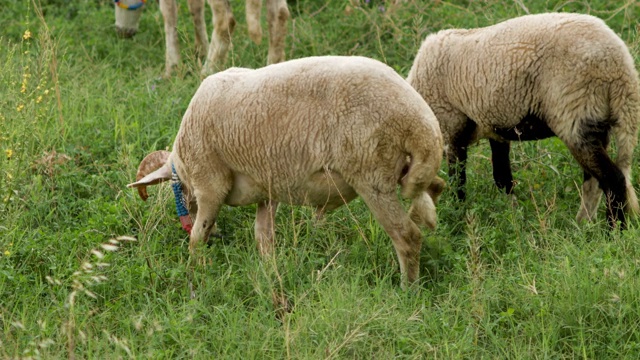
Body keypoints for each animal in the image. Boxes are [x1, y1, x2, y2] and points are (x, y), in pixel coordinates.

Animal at [114, 0, 288, 76]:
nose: (122, 32)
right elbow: (195, 7)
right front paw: (201, 49)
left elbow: (168, 12)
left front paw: (172, 66)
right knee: (279, 13)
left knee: (225, 21)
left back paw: (207, 71)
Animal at [125, 56, 444, 286]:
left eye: (177, 190)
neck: (183, 165)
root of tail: (418, 119)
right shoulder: (267, 189)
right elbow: (263, 237)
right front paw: (270, 272)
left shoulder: (210, 184)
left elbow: (196, 238)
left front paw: (197, 273)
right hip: (402, 167)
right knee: (435, 187)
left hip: (372, 174)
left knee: (407, 236)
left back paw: (407, 289)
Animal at [408, 13, 636, 231]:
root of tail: (620, 66)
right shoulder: (495, 129)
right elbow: (502, 178)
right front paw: (513, 215)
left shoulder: (451, 128)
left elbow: (458, 181)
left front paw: (458, 215)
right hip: (596, 119)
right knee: (594, 181)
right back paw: (583, 225)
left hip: (576, 113)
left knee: (613, 179)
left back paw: (613, 232)